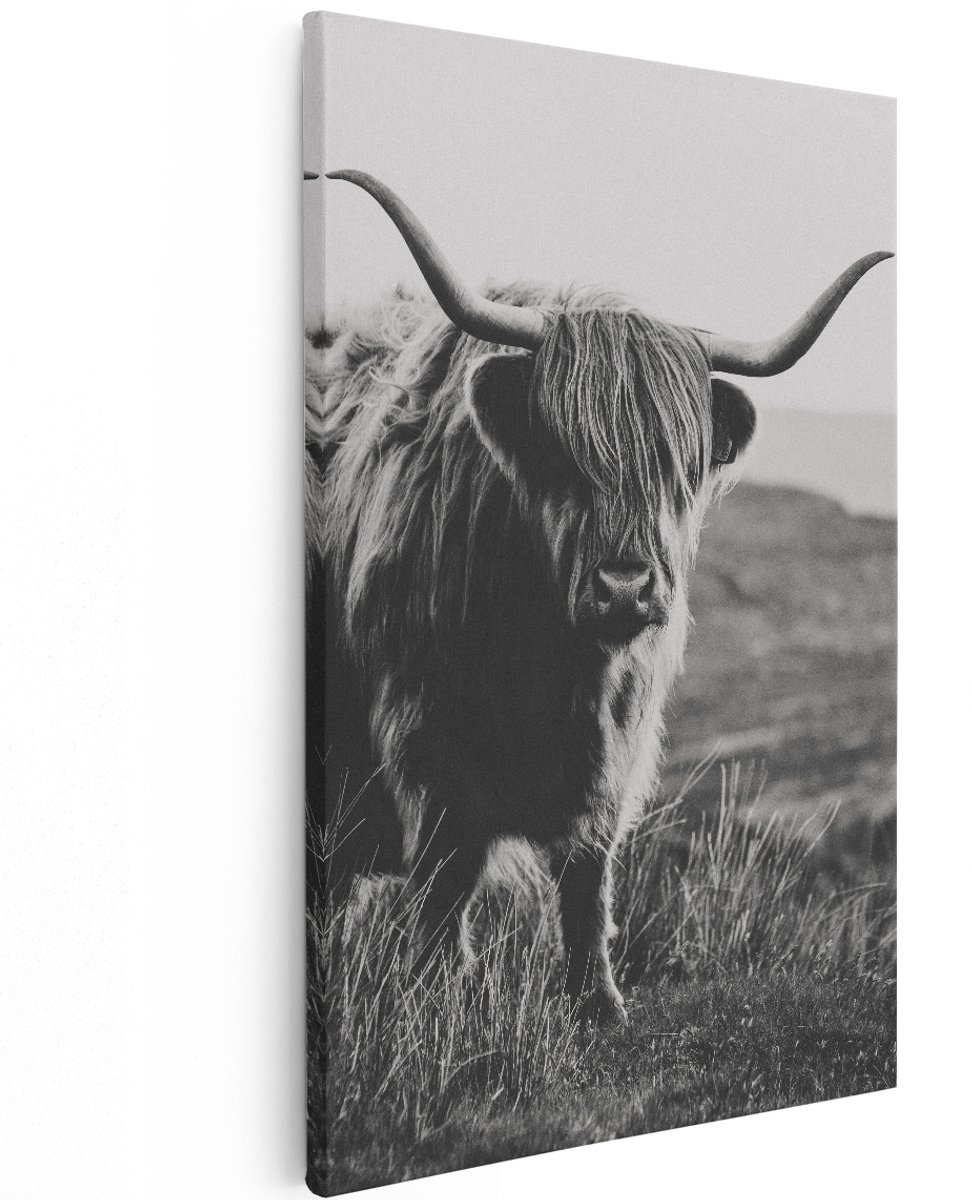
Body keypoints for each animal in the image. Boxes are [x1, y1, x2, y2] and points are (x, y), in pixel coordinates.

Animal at [305, 169, 892, 1023]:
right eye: (560, 452)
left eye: (678, 464)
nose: (626, 587)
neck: (553, 663)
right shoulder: (423, 744)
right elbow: (445, 881)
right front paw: (442, 997)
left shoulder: (617, 748)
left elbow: (587, 873)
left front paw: (599, 1004)